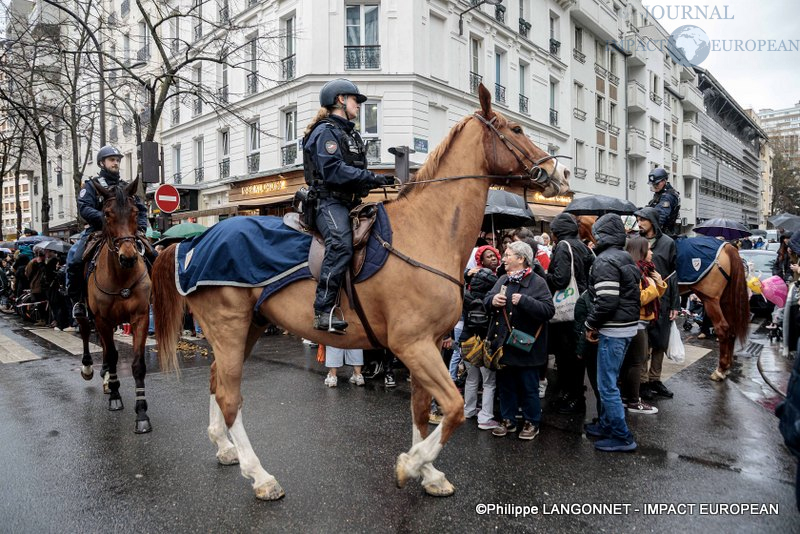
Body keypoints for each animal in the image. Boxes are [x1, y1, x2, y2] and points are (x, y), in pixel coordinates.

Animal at [77, 178, 154, 438]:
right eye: (107, 214)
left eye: (135, 212)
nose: (128, 257)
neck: (120, 276)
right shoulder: (102, 319)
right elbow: (111, 356)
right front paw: (115, 396)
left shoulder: (140, 317)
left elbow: (137, 365)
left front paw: (142, 414)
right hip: (87, 312)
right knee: (84, 330)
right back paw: (90, 369)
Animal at [150, 85, 572, 502]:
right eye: (515, 129)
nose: (562, 172)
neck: (427, 231)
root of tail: (193, 242)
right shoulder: (411, 344)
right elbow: (452, 407)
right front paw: (411, 464)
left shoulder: (428, 345)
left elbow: (422, 409)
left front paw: (429, 473)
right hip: (229, 329)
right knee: (229, 396)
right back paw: (259, 475)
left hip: (247, 328)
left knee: (216, 381)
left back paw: (225, 447)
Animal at [576, 216, 752, 384]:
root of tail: (727, 246)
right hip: (725, 300)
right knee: (731, 330)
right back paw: (726, 368)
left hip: (710, 300)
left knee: (723, 329)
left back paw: (720, 370)